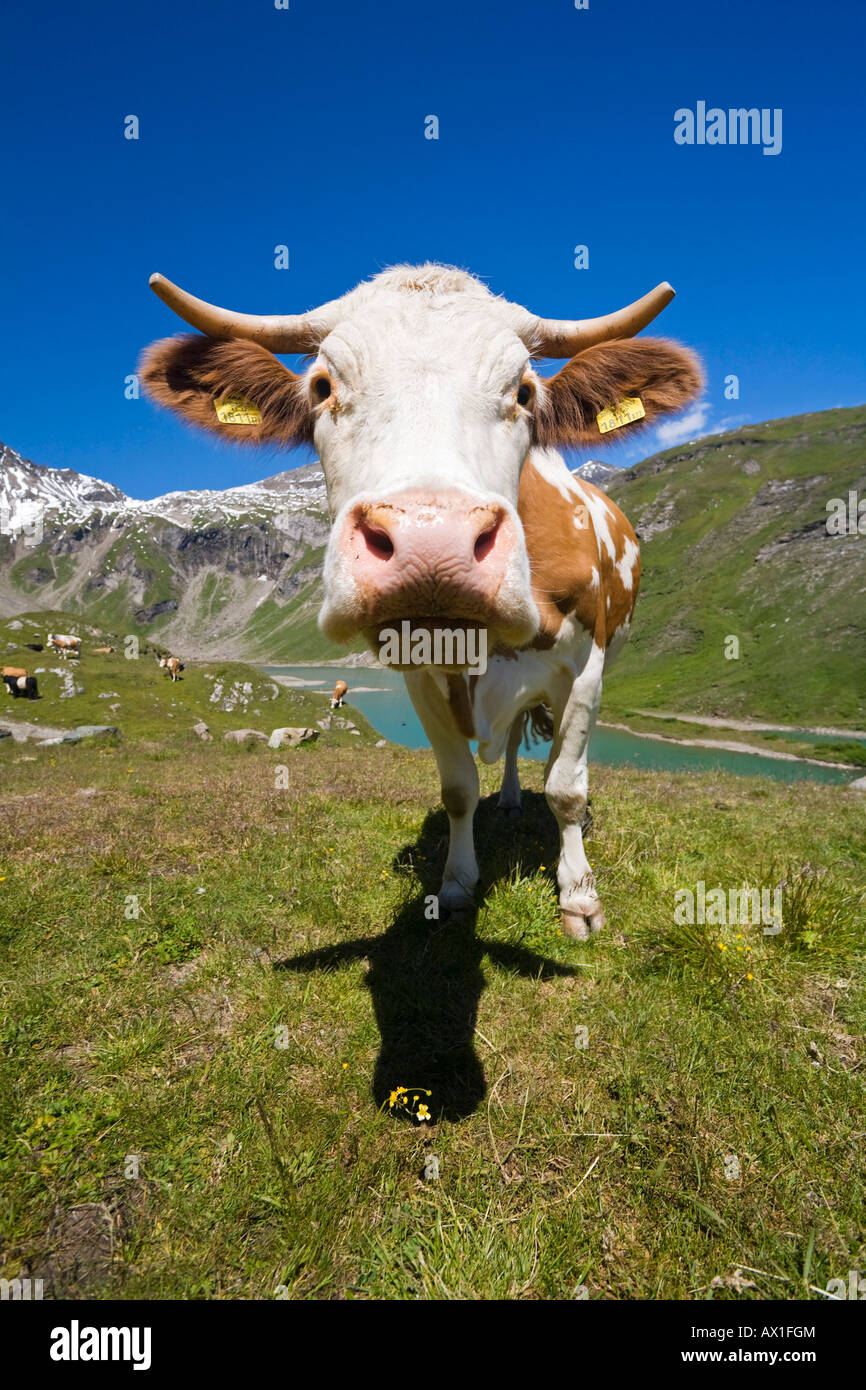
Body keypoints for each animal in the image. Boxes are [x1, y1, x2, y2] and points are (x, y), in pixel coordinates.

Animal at [139, 265, 700, 939]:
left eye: (525, 392)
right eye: (323, 386)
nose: (433, 543)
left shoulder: (585, 668)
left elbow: (567, 786)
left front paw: (580, 896)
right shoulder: (419, 676)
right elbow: (457, 788)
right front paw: (456, 885)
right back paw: (511, 798)